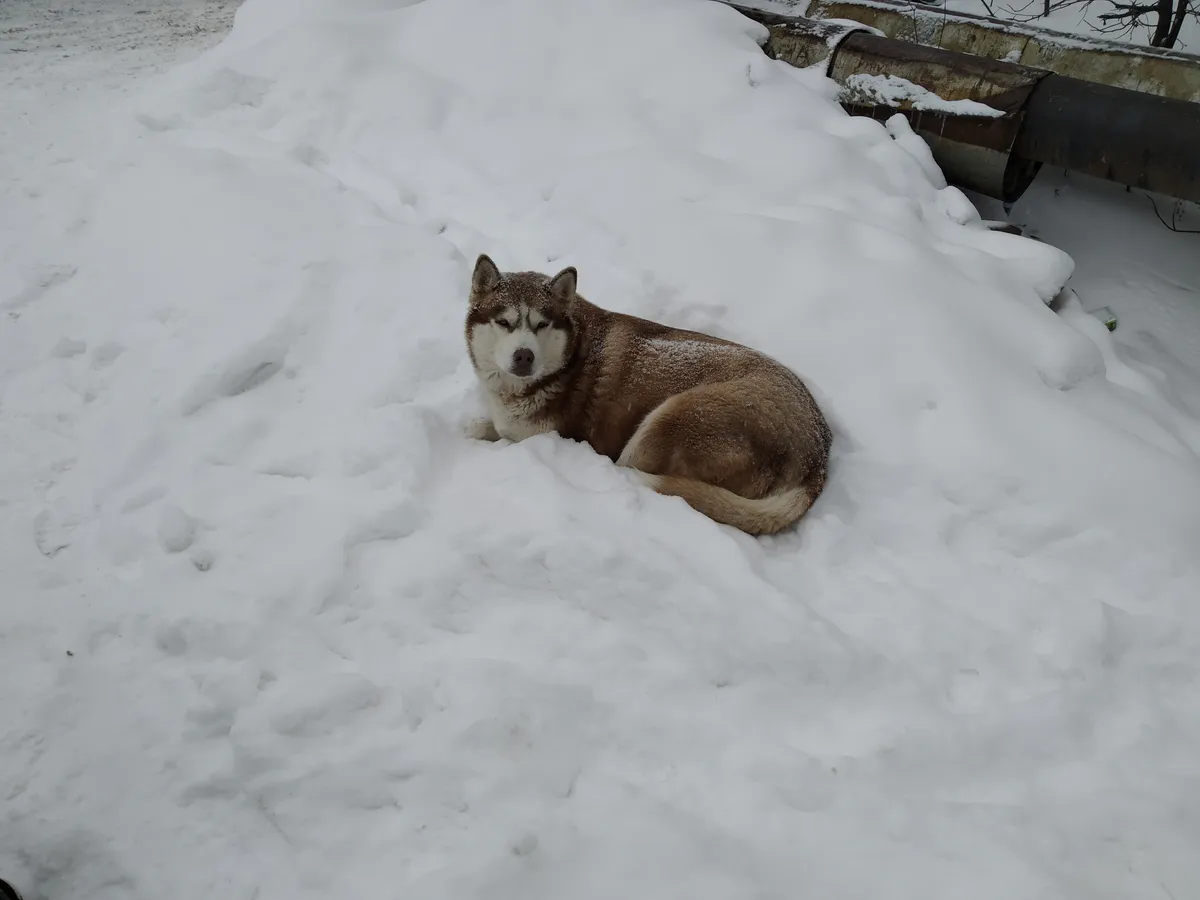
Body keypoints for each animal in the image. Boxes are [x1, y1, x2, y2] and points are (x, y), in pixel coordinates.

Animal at [463, 254, 832, 535]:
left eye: (542, 324)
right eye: (504, 322)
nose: (524, 356)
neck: (570, 357)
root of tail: (817, 458)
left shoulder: (542, 435)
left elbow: (506, 436)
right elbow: (484, 426)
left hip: (671, 419)